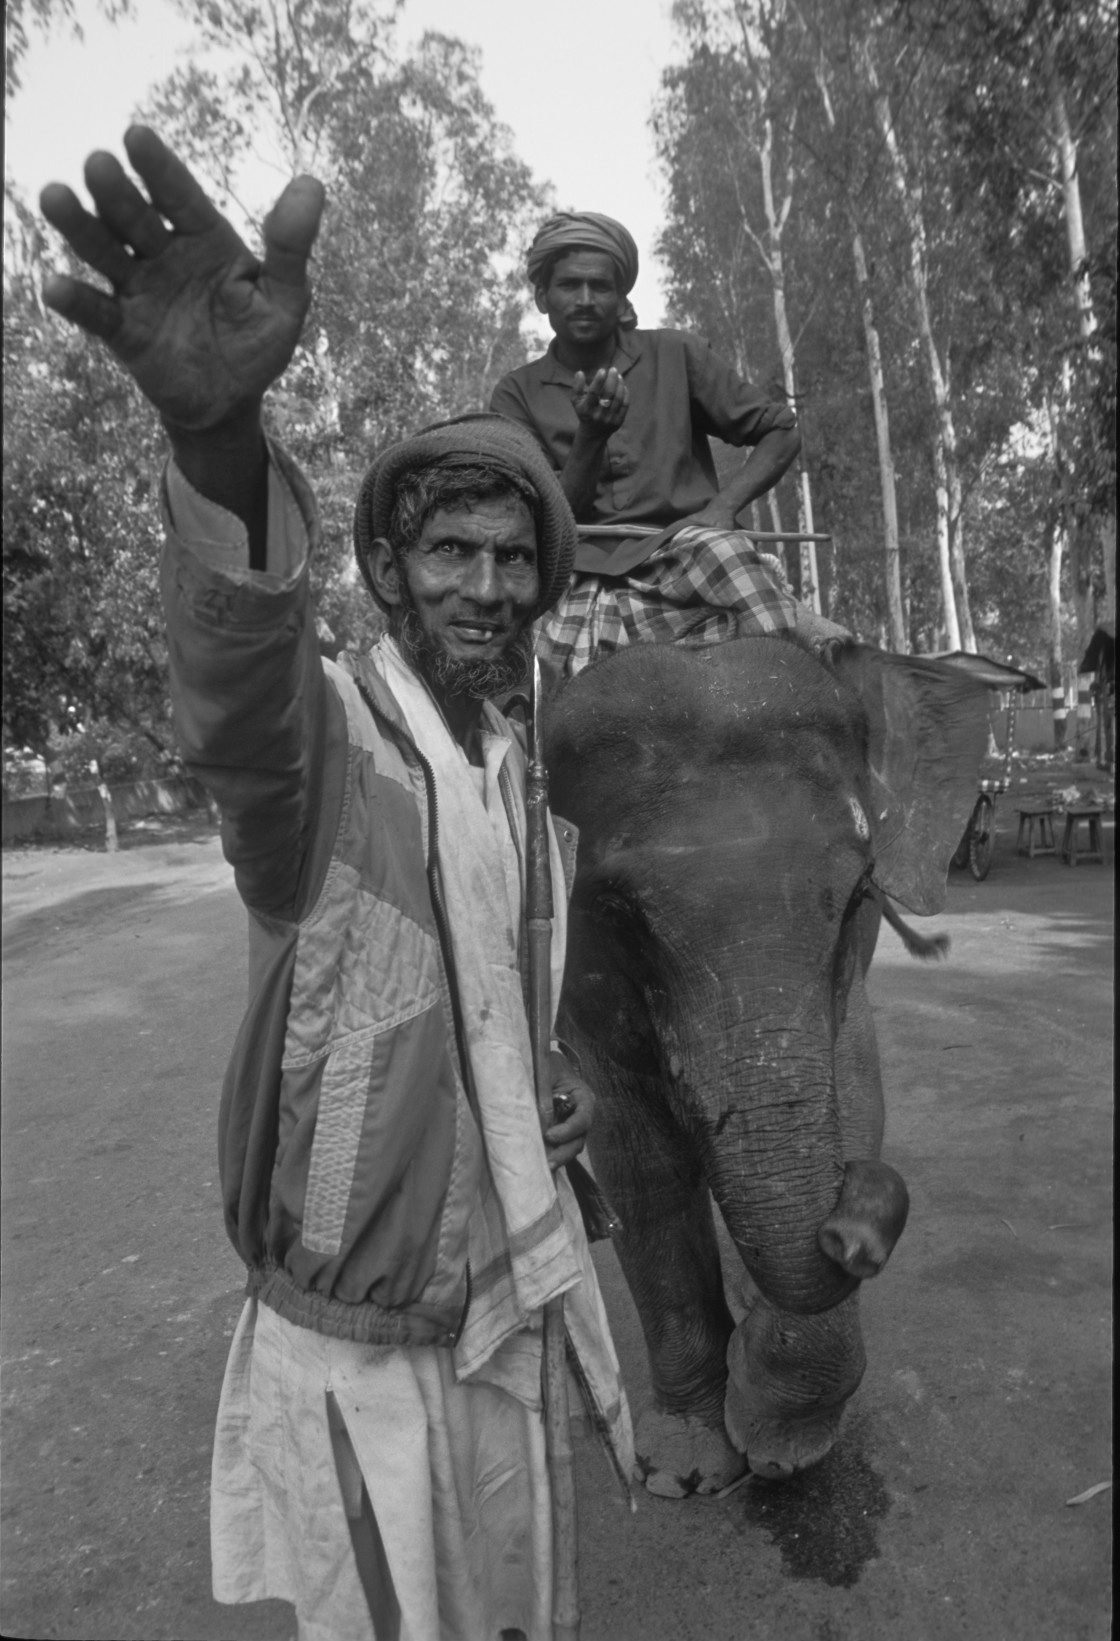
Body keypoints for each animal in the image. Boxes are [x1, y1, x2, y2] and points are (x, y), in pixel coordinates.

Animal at [544, 630, 990, 1503]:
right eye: (614, 910)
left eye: (859, 892)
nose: (854, 1234)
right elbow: (638, 1160)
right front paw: (685, 1467)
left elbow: (856, 1090)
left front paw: (780, 1436)